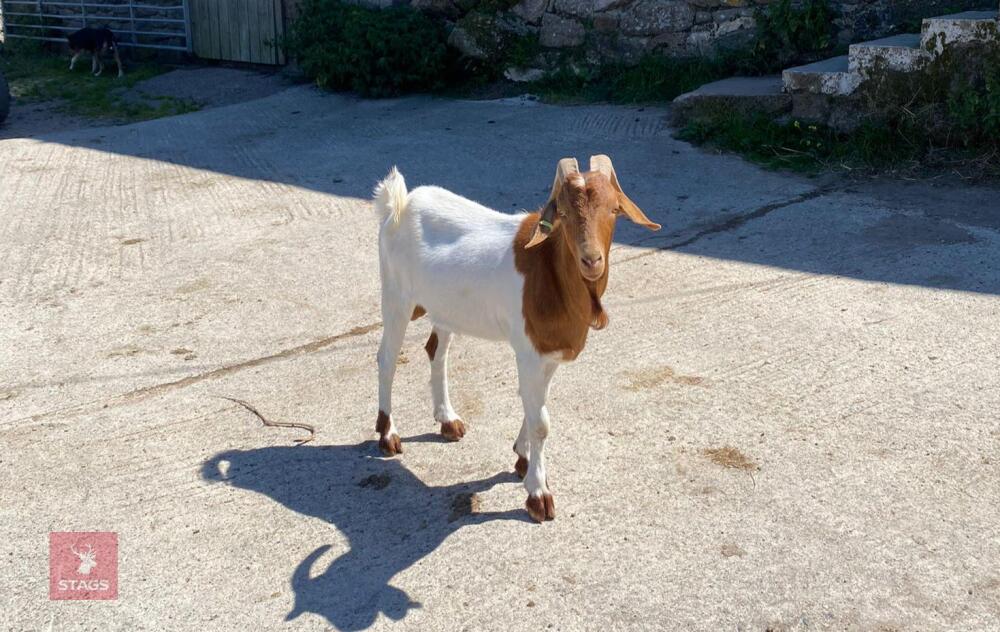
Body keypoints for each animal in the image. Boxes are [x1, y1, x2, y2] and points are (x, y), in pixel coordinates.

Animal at [372, 155, 660, 522]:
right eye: (563, 212)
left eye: (613, 210)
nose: (591, 260)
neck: (548, 272)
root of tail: (399, 203)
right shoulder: (528, 351)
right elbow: (541, 422)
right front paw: (538, 494)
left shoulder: (547, 351)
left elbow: (536, 403)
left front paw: (522, 458)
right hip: (396, 295)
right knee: (387, 358)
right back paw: (388, 435)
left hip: (444, 308)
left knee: (436, 350)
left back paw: (448, 420)